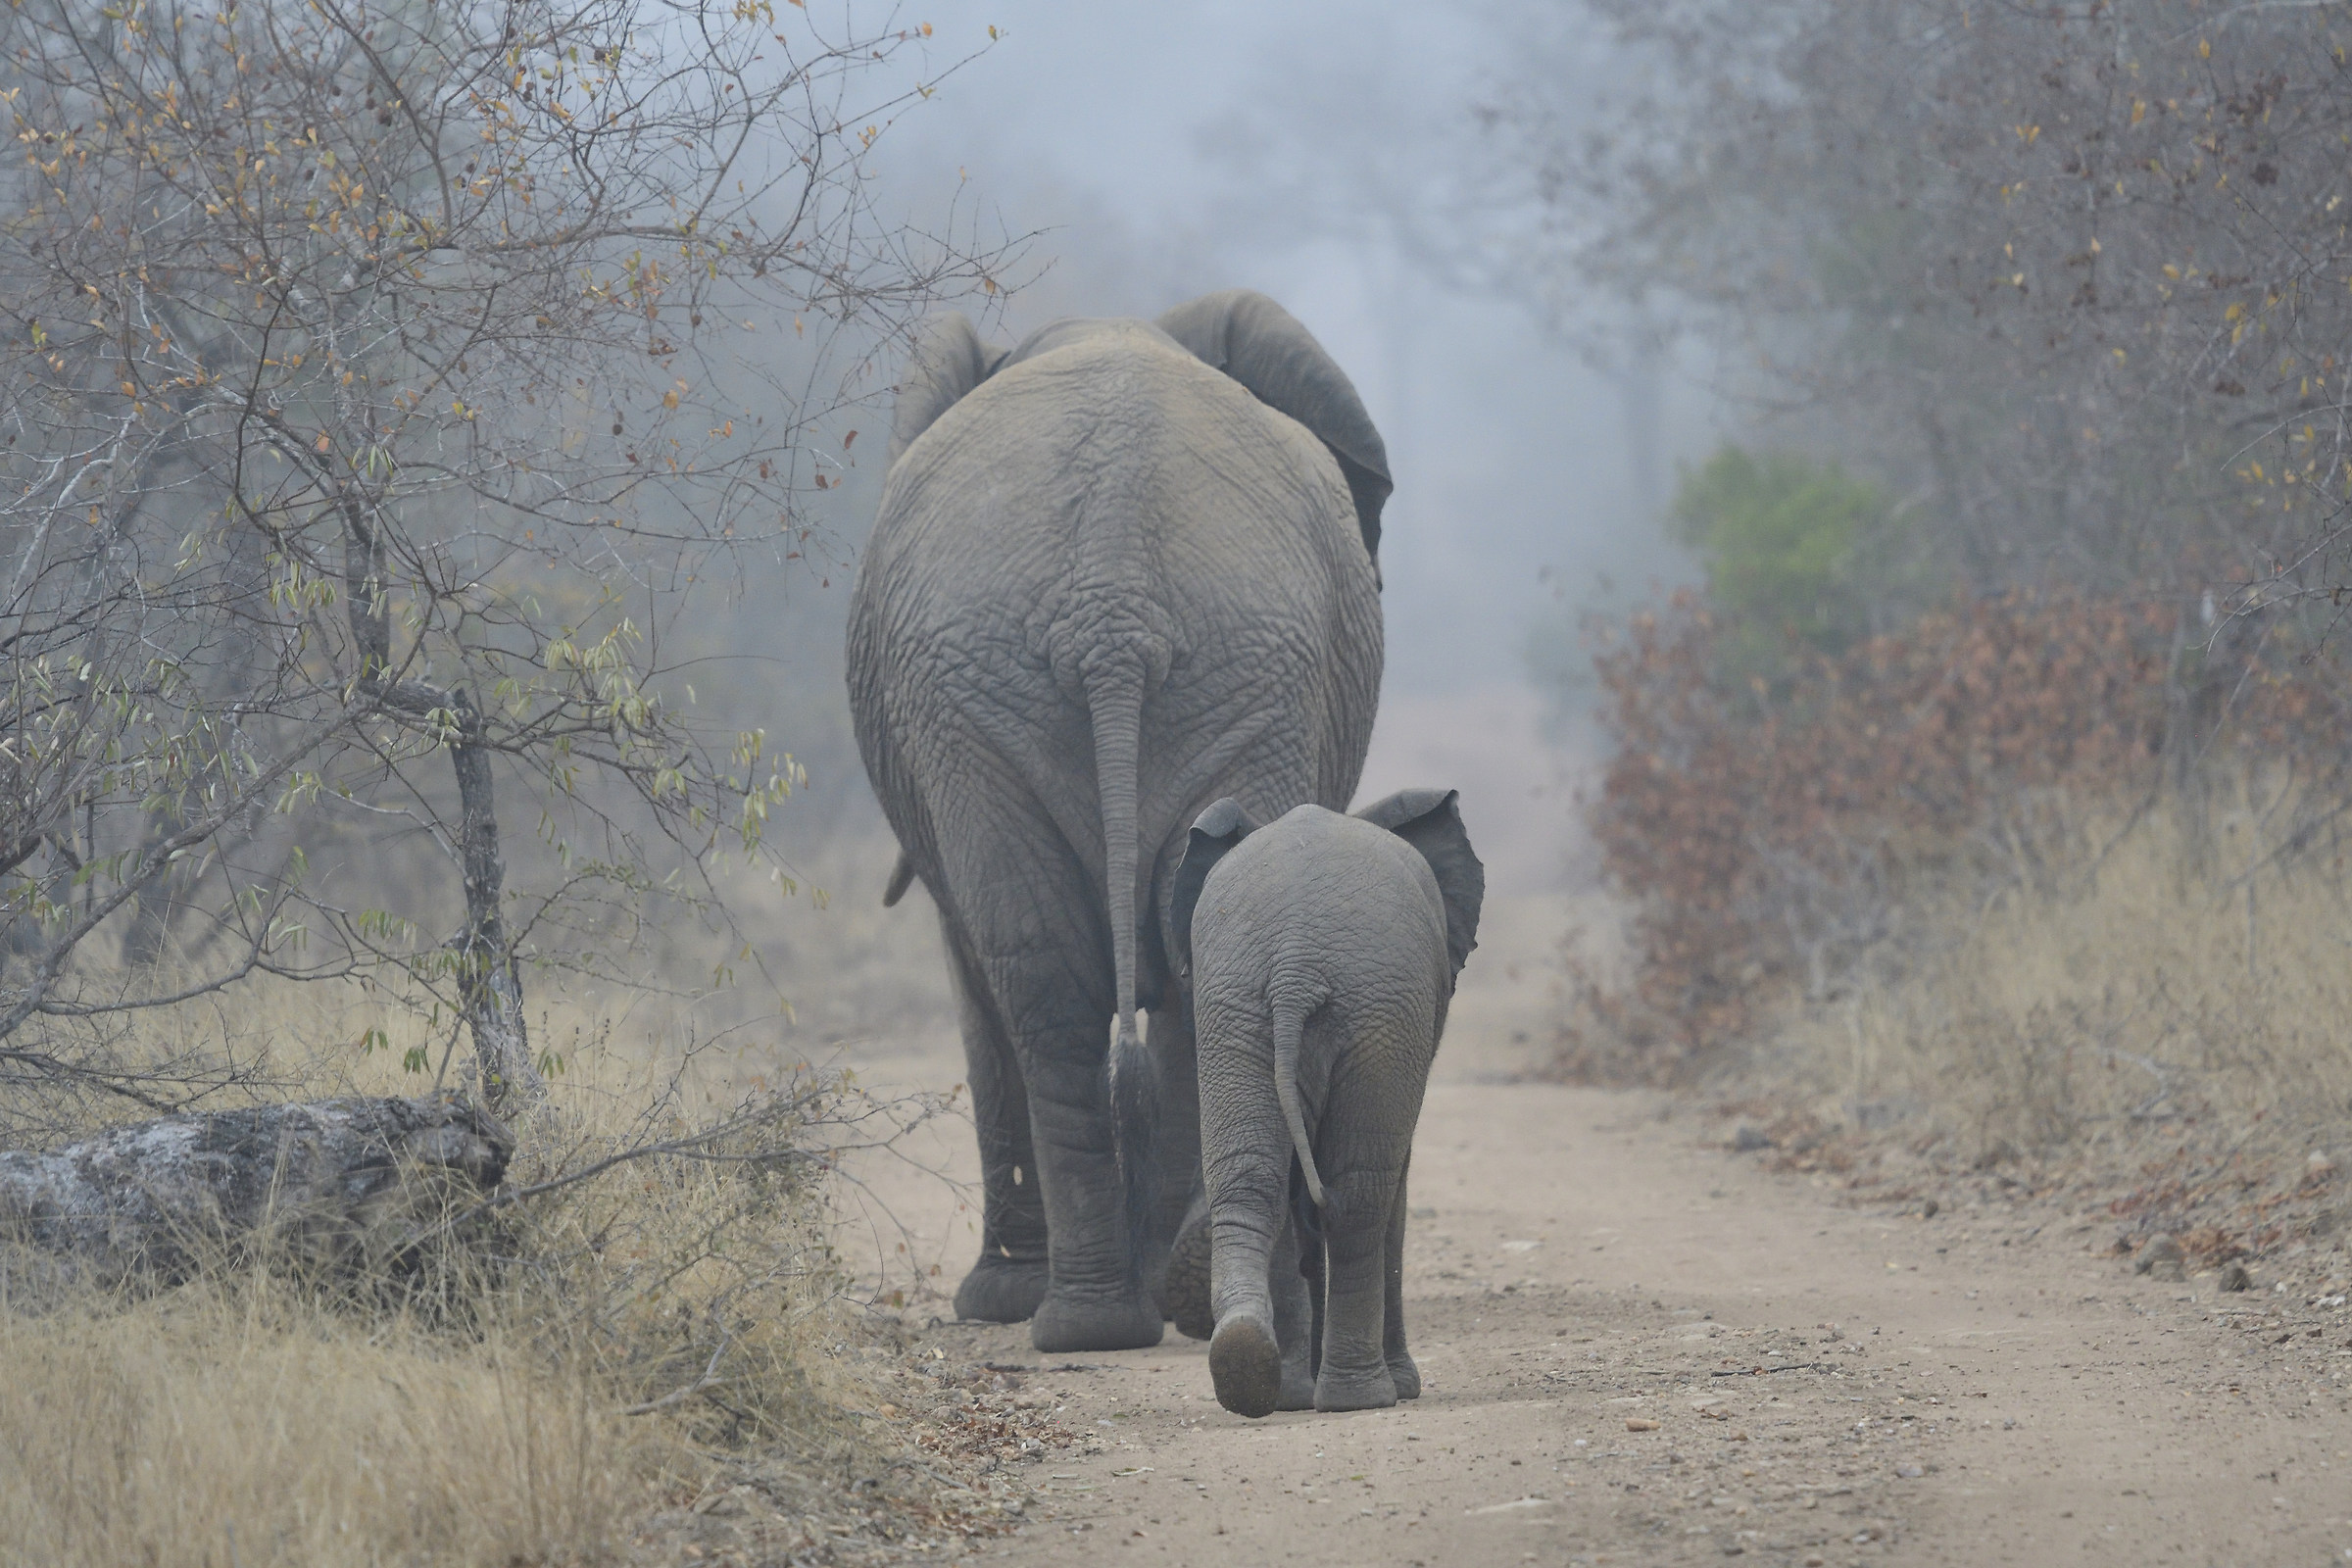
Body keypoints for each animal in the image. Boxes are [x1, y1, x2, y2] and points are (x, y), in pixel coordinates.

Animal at [846, 290, 1392, 1352]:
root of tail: (1112, 606)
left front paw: (996, 1302)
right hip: (1019, 691)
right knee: (1101, 968)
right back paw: (1123, 1310)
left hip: (1205, 675)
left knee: (1053, 975)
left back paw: (1106, 1311)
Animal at [1166, 790, 1483, 1415]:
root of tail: (1295, 968)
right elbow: (1392, 1188)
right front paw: (1403, 1387)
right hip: (1381, 1019)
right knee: (1362, 1192)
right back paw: (1359, 1397)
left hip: (1235, 1014)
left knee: (1252, 1179)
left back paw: (1255, 1373)